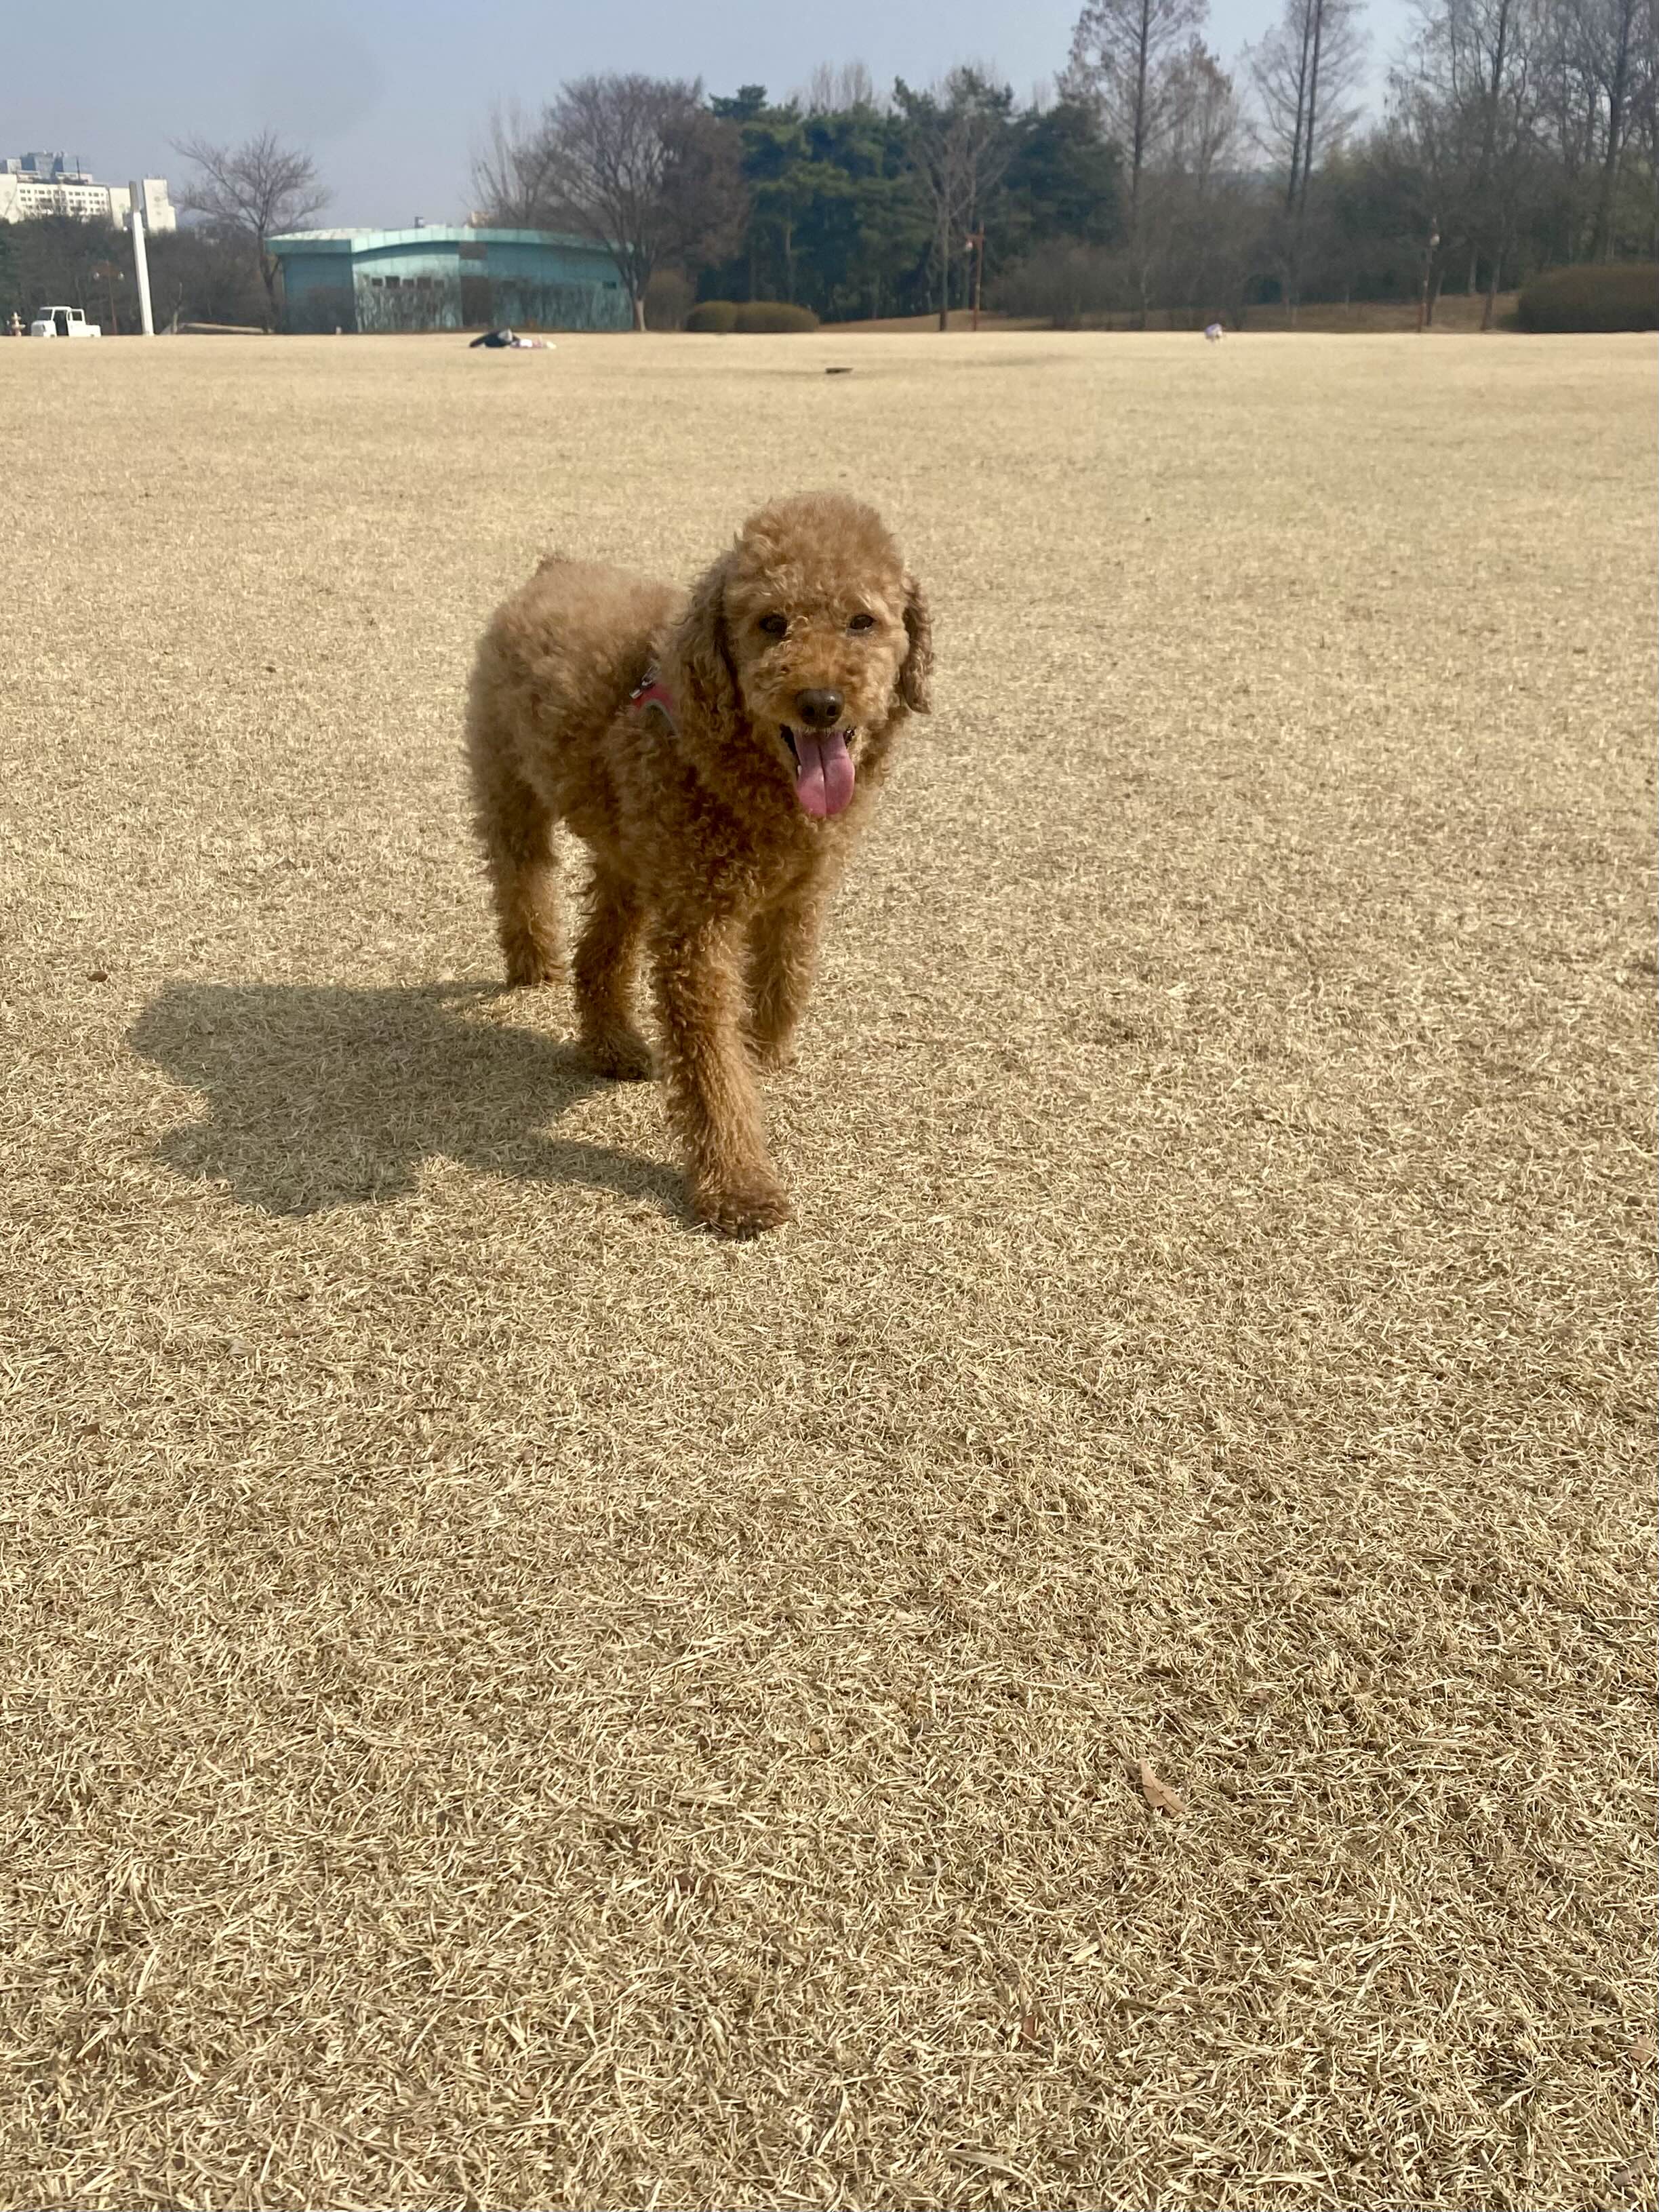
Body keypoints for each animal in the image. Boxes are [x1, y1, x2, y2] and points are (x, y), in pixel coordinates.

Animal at [464, 492, 932, 1236]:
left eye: (862, 621)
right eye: (771, 624)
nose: (820, 702)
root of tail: (554, 568)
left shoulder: (800, 890)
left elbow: (787, 975)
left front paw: (763, 1048)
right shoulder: (698, 931)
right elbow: (711, 1070)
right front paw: (737, 1186)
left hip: (632, 850)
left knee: (601, 946)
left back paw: (611, 1044)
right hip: (510, 784)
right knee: (520, 871)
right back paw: (533, 961)